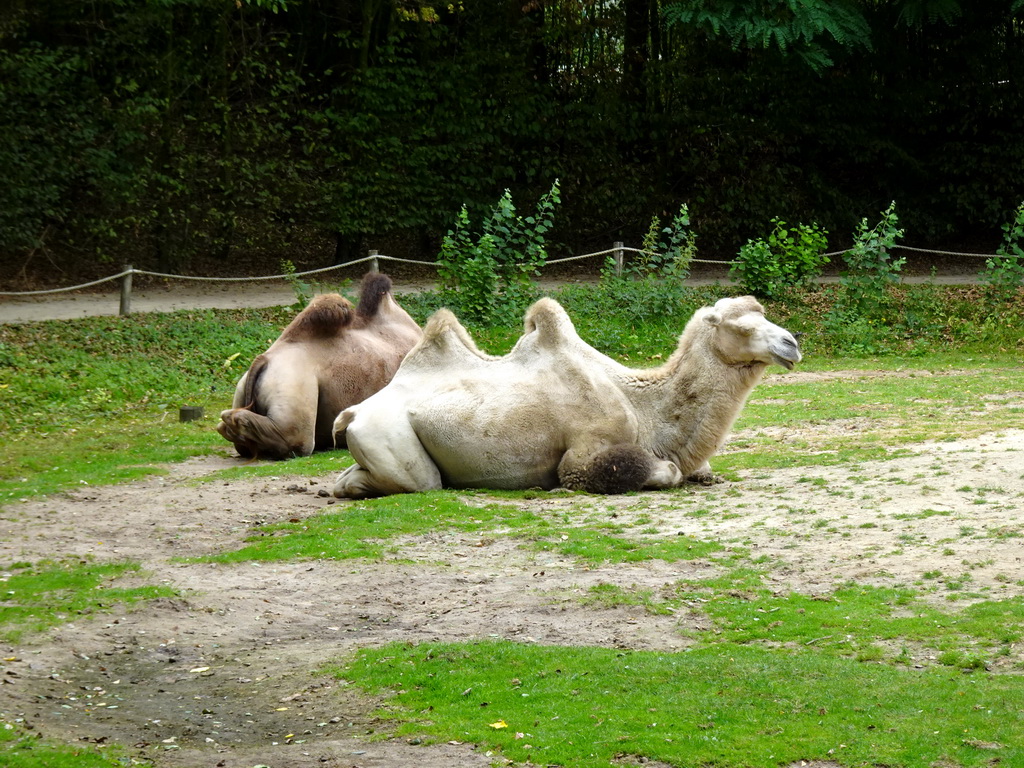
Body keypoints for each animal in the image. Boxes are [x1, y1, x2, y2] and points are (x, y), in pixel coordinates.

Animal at [331, 294, 802, 499]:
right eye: (741, 326)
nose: (792, 343)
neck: (643, 408)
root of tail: (352, 413)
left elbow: (701, 471)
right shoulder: (582, 455)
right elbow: (664, 471)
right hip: (386, 433)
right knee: (419, 482)